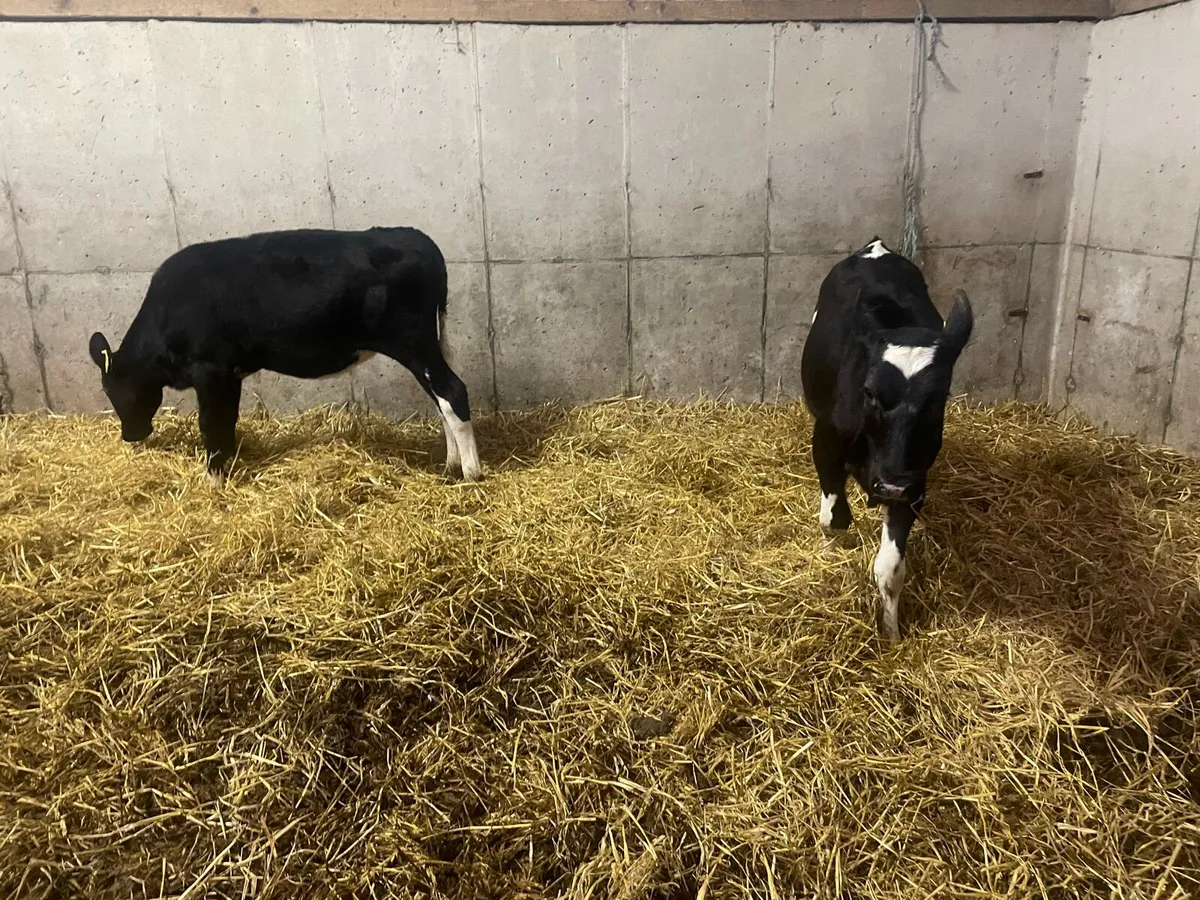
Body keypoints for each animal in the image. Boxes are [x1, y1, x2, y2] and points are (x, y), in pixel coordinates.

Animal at [88, 226, 483, 483]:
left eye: (111, 390)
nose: (131, 435)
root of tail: (418, 238)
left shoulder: (208, 368)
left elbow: (210, 422)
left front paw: (213, 477)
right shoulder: (229, 373)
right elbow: (227, 419)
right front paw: (227, 465)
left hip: (412, 342)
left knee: (452, 392)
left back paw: (471, 472)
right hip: (429, 343)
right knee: (440, 399)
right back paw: (451, 464)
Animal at [800, 237, 972, 641]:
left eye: (938, 398)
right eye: (869, 393)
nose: (890, 485)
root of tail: (876, 246)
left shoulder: (913, 483)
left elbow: (890, 570)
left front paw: (891, 636)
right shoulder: (825, 446)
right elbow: (834, 520)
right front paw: (829, 560)